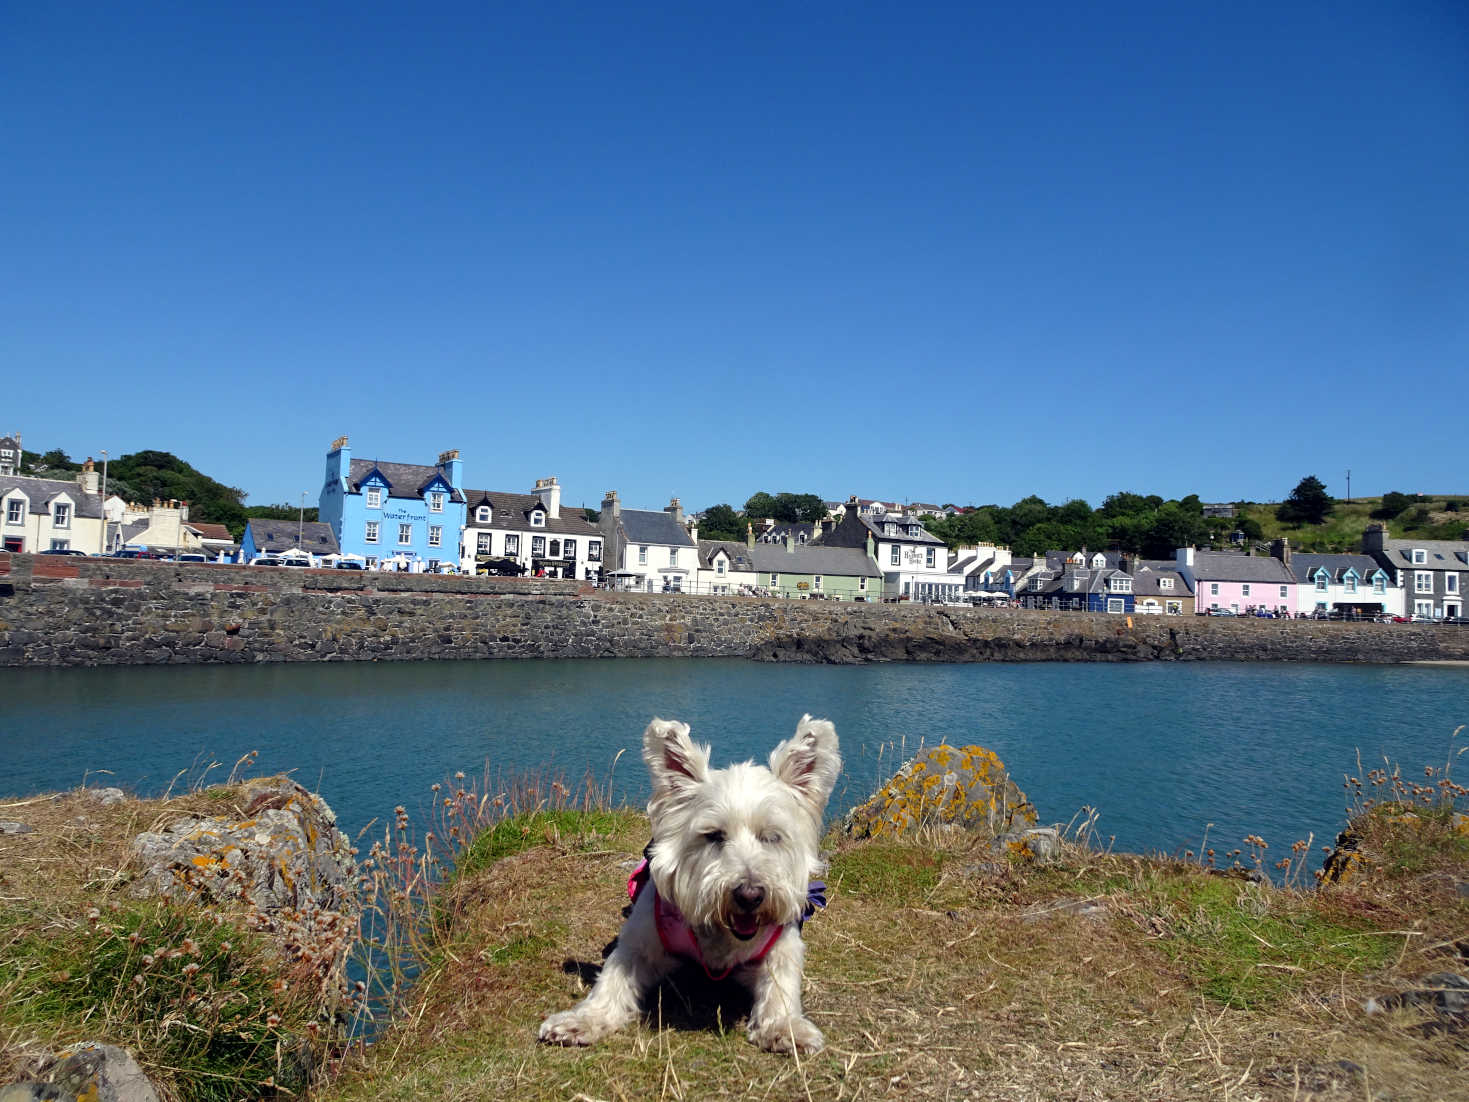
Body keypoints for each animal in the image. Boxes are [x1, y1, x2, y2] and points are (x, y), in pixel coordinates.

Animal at [537, 711, 840, 1057]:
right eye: (713, 835)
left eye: (771, 836)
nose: (750, 895)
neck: (719, 936)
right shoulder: (638, 942)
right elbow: (611, 981)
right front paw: (581, 1020)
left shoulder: (783, 943)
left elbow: (781, 983)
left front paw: (784, 1026)